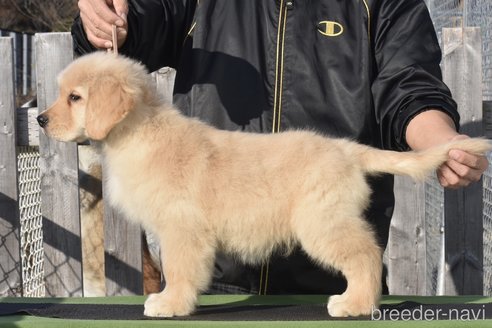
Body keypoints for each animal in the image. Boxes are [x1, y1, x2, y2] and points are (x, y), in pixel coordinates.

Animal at [36, 52, 490, 318]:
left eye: (75, 97)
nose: (40, 119)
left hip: (321, 222)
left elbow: (179, 271)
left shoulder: (182, 229)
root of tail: (346, 149)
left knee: (365, 255)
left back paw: (355, 304)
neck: (140, 133)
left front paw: (170, 303)